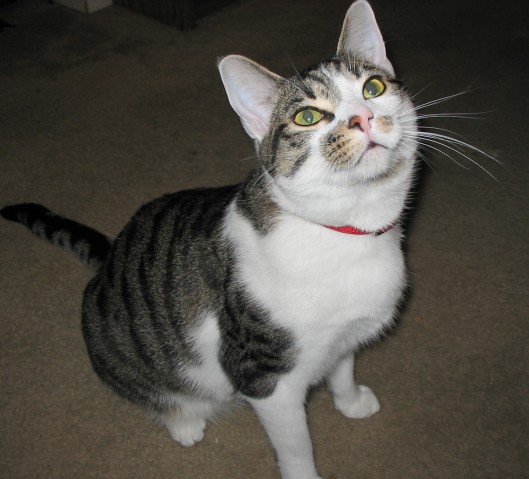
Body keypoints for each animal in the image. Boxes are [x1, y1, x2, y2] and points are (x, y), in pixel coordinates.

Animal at [2, 1, 418, 478]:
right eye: (308, 116)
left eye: (373, 87)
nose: (362, 117)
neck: (345, 232)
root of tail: (109, 261)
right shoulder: (263, 376)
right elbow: (295, 444)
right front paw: (304, 468)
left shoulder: (347, 331)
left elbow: (343, 368)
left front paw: (351, 402)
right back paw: (184, 421)